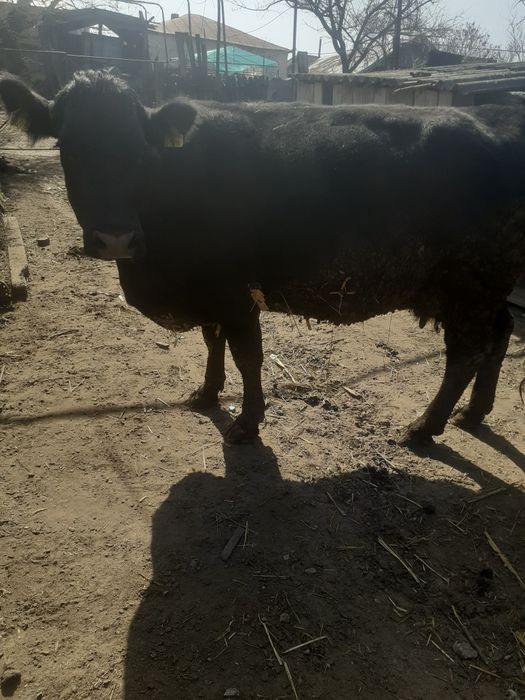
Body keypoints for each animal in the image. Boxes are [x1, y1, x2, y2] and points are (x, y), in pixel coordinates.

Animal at [1, 70, 524, 446]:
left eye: (141, 151)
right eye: (70, 148)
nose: (114, 238)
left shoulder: (234, 292)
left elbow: (247, 356)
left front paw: (247, 423)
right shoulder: (208, 292)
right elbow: (212, 343)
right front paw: (206, 394)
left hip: (471, 284)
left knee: (466, 352)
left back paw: (423, 427)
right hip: (479, 288)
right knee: (500, 335)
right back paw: (472, 413)